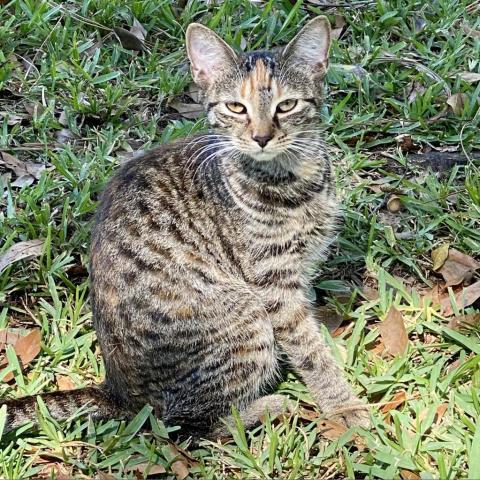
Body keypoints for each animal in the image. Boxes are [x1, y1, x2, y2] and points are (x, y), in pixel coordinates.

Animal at [0, 16, 370, 438]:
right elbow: (308, 351)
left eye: (287, 105)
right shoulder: (274, 283)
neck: (294, 179)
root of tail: (117, 392)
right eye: (236, 107)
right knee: (194, 422)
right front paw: (344, 406)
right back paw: (271, 406)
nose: (261, 137)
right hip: (245, 316)